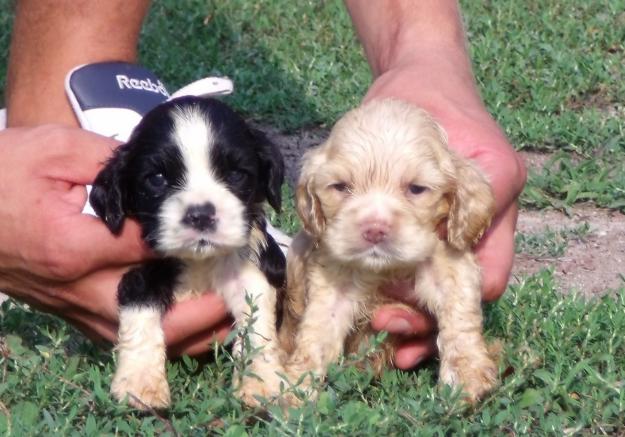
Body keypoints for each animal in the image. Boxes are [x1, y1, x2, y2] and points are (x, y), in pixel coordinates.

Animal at [90, 95, 286, 408]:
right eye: (157, 178)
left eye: (236, 174)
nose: (201, 215)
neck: (198, 262)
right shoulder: (141, 270)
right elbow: (140, 312)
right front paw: (141, 383)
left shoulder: (250, 266)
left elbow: (256, 322)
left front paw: (261, 383)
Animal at [278, 98, 498, 402]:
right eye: (340, 187)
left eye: (416, 189)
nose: (374, 229)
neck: (385, 269)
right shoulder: (331, 278)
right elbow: (316, 330)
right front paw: (295, 386)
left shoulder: (450, 263)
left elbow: (460, 315)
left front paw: (467, 374)